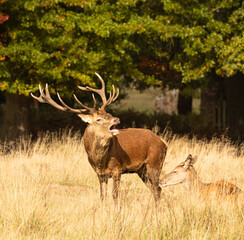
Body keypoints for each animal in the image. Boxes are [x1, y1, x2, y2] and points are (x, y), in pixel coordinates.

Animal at [31, 72, 168, 202]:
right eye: (99, 119)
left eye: (109, 113)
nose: (116, 119)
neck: (100, 160)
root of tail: (163, 143)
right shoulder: (100, 174)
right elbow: (102, 196)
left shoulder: (117, 169)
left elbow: (115, 195)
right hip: (141, 170)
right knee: (155, 189)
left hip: (155, 162)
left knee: (158, 189)